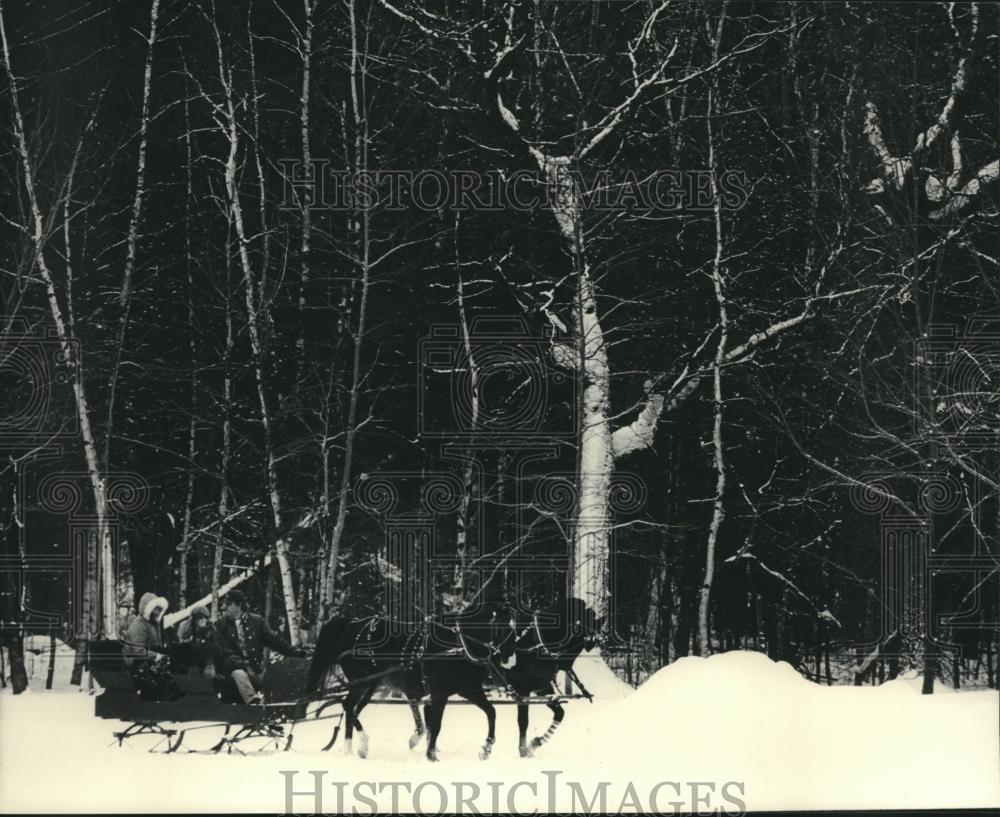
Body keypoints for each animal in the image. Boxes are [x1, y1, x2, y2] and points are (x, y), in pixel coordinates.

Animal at [304, 596, 600, 760]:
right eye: (503, 627)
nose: (508, 658)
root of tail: (350, 624)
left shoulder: (477, 688)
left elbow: (507, 713)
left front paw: (517, 747)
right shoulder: (520, 687)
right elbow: (520, 721)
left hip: (374, 684)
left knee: (353, 709)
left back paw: (352, 747)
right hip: (364, 681)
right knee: (348, 706)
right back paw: (361, 744)